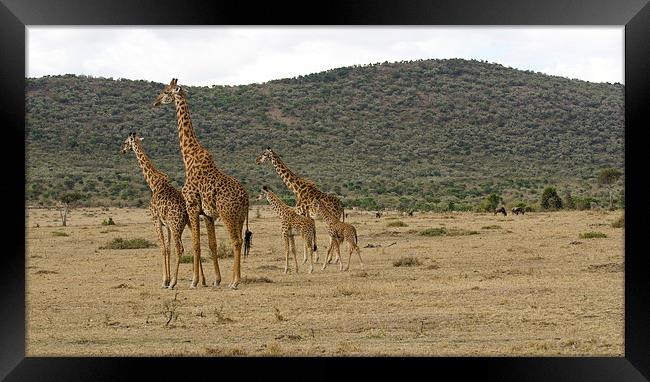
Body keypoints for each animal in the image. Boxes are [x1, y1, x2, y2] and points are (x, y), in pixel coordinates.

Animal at [119, 133, 204, 288]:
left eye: (126, 142)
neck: (154, 183)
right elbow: (168, 249)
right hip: (186, 224)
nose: (122, 150)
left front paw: (165, 281)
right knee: (196, 244)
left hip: (177, 226)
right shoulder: (167, 225)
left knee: (180, 248)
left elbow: (163, 248)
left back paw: (175, 283)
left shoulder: (156, 220)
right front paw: (167, 279)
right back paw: (200, 280)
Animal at [152, 78, 251, 290]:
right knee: (238, 241)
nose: (155, 102)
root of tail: (247, 198)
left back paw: (235, 282)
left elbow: (196, 244)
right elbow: (211, 244)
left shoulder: (192, 205)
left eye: (166, 91)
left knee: (236, 242)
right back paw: (234, 279)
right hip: (239, 217)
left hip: (228, 214)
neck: (188, 157)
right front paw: (216, 280)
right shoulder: (207, 214)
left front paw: (193, 281)